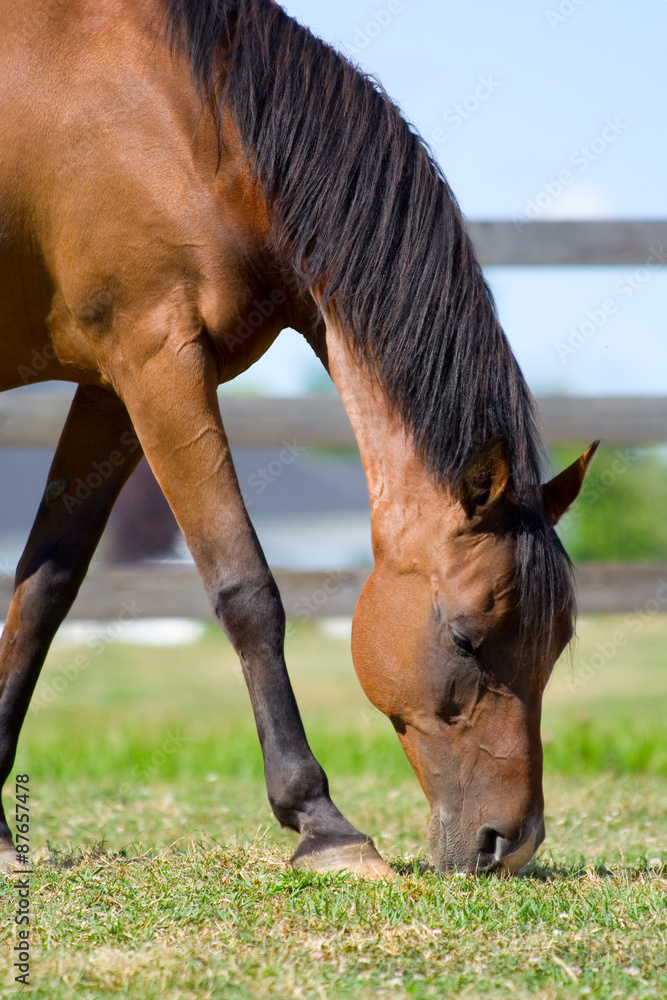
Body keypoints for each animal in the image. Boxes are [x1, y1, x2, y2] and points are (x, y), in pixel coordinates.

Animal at [0, 0, 597, 878]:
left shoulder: (111, 387)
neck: (192, 120)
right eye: (465, 637)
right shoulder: (159, 360)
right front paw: (323, 824)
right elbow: (245, 589)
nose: (510, 843)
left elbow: (46, 588)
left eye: (556, 643)